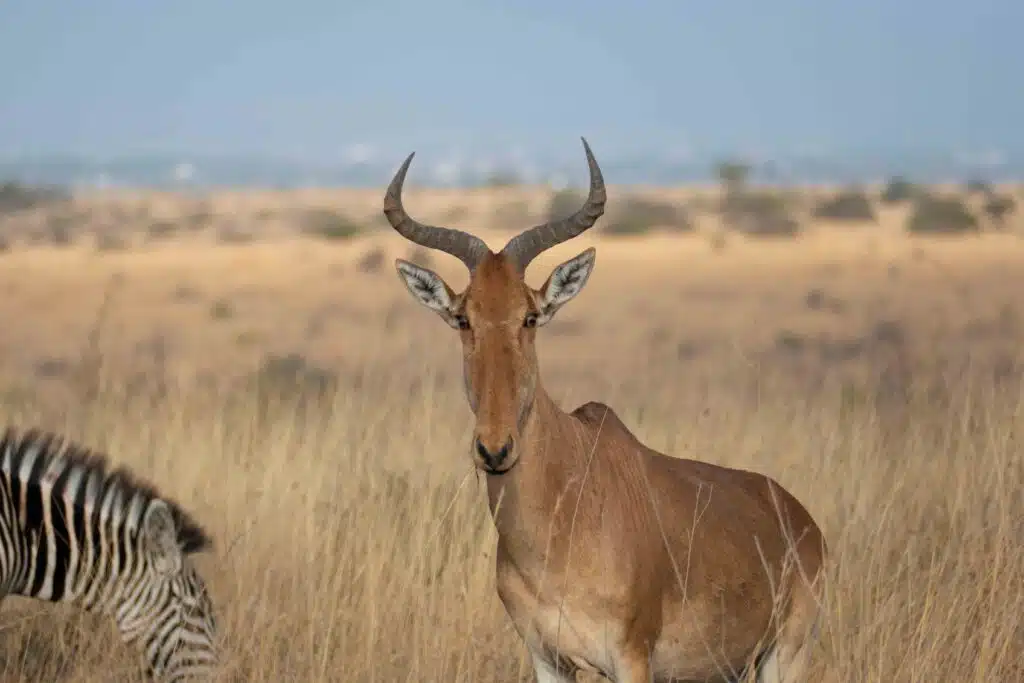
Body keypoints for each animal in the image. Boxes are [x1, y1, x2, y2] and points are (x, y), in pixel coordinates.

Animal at [387, 139, 827, 683]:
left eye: (530, 316)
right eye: (463, 317)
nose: (495, 450)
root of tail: (799, 517)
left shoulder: (631, 659)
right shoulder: (547, 660)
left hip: (785, 655)